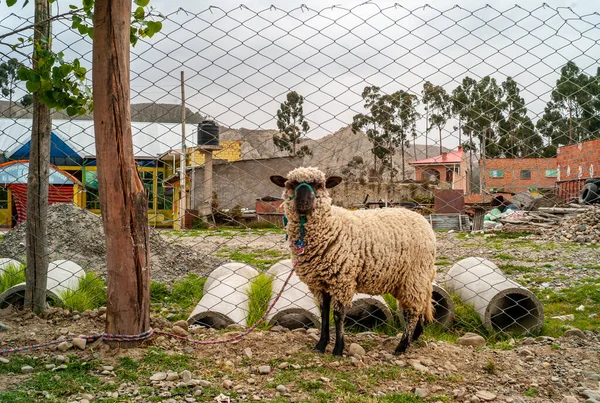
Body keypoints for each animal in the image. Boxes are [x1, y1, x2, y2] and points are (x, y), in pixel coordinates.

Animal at [272, 167, 436, 356]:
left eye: (319, 185)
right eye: (291, 185)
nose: (303, 203)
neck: (331, 226)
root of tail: (423, 221)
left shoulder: (342, 280)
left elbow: (338, 315)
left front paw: (338, 348)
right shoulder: (320, 283)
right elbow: (324, 313)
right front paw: (321, 345)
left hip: (415, 276)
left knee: (413, 311)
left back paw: (401, 346)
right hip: (406, 279)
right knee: (420, 305)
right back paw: (414, 337)